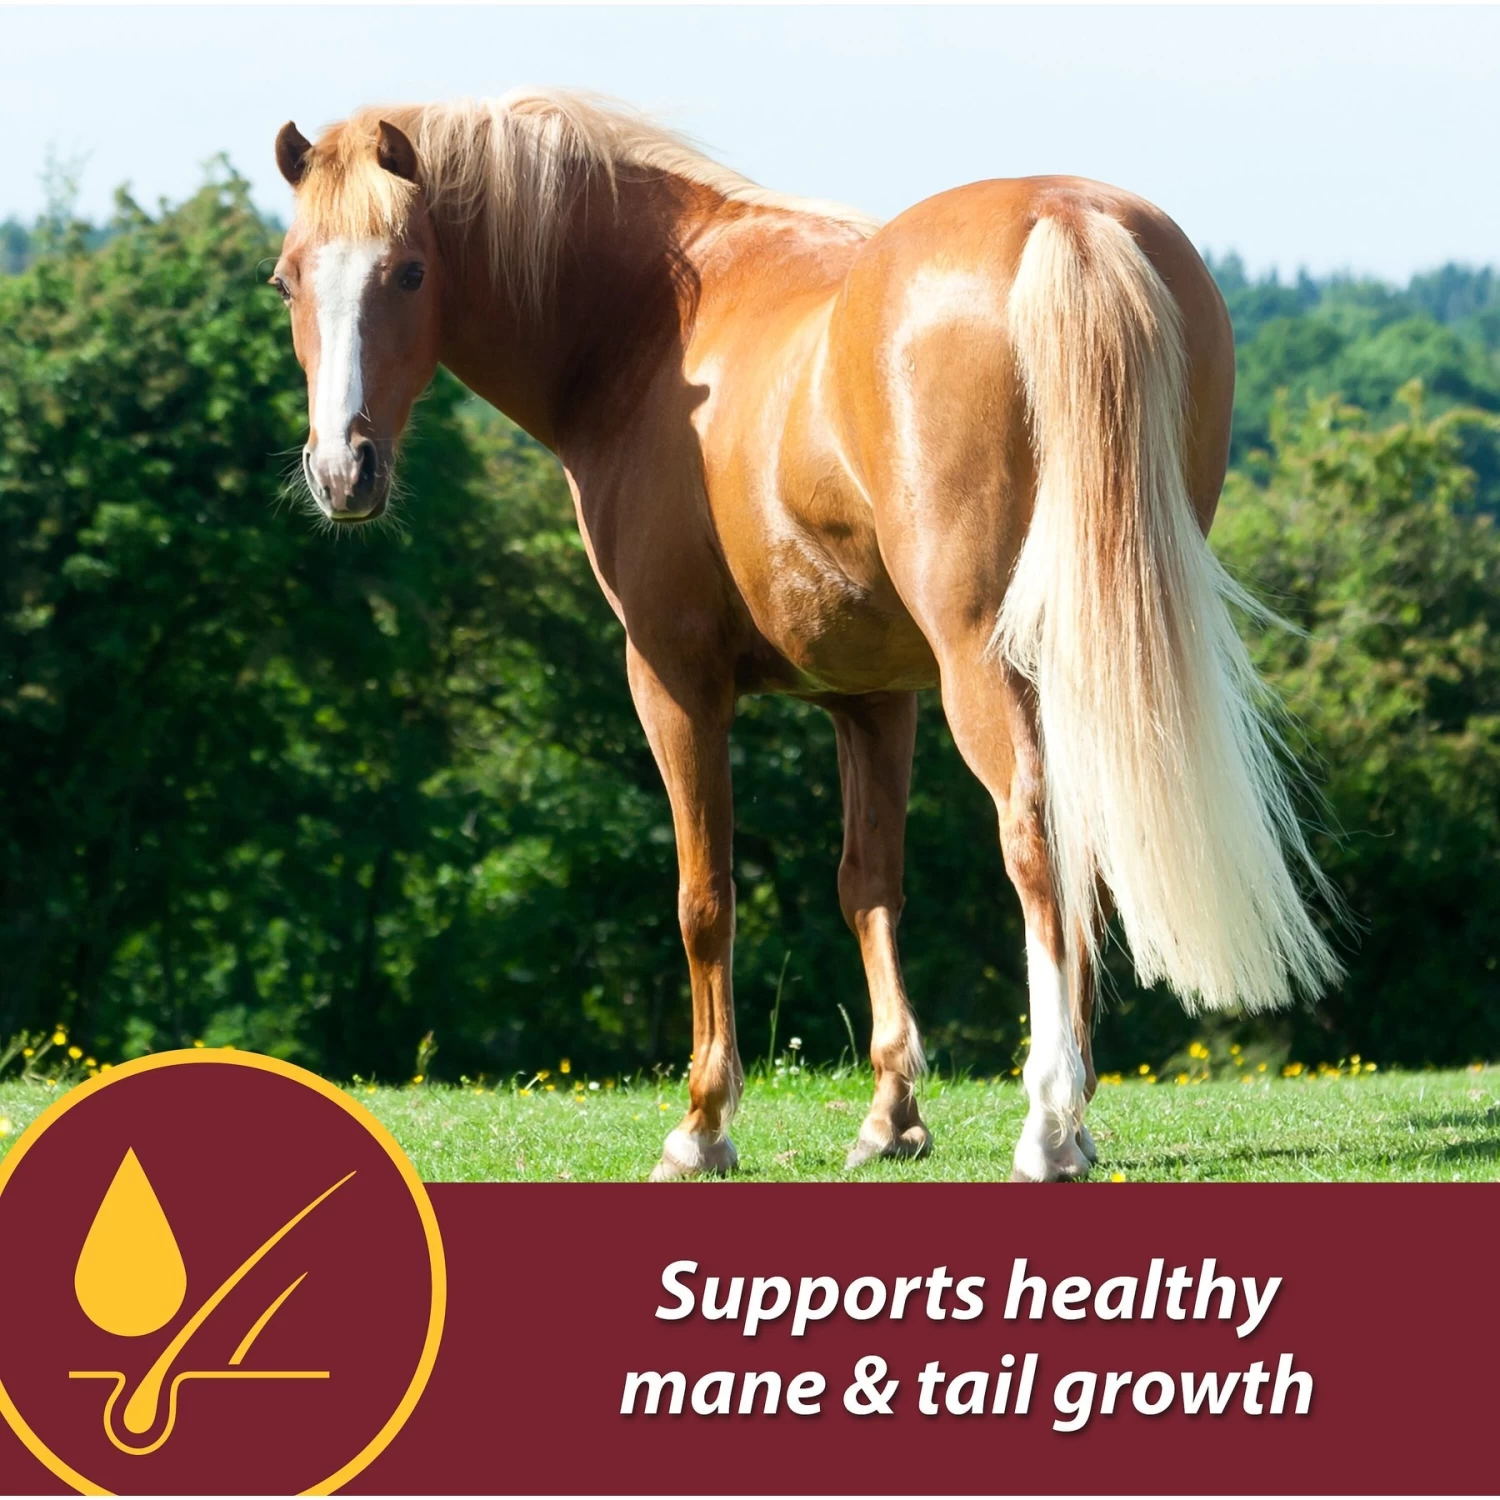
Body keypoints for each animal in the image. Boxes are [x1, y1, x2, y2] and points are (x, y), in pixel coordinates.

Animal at [270, 90, 1341, 1182]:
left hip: (986, 665)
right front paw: (893, 1115)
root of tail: (1068, 218)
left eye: (409, 270)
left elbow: (705, 897)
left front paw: (702, 1124)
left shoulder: (672, 679)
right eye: (287, 279)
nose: (342, 472)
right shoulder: (871, 697)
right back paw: (1073, 1119)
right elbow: (868, 886)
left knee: (1035, 836)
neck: (650, 321)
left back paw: (1046, 1123)